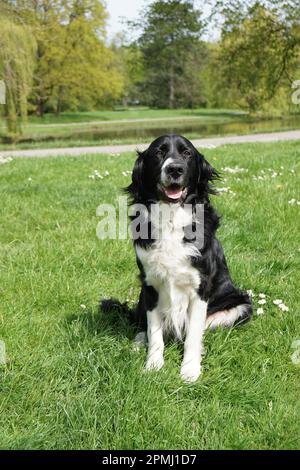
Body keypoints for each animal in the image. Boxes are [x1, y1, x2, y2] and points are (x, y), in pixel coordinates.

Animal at [124, 133, 251, 382]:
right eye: (159, 152)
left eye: (187, 153)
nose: (175, 169)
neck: (171, 219)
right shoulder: (150, 285)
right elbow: (154, 332)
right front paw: (153, 365)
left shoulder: (200, 288)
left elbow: (193, 333)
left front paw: (190, 370)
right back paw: (138, 342)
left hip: (241, 305)